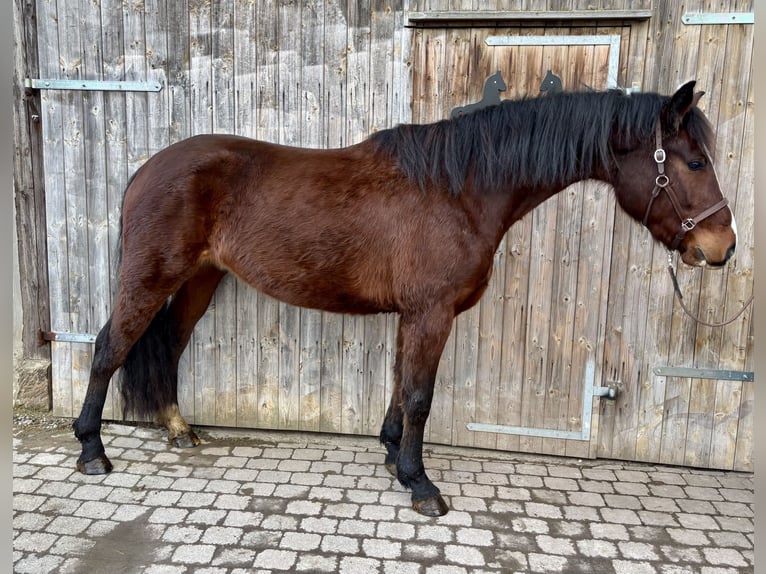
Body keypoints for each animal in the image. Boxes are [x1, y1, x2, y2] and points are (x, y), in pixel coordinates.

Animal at [73, 80, 736, 516]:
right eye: (693, 161)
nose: (722, 247)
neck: (458, 189)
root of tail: (146, 169)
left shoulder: (413, 315)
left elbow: (399, 387)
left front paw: (394, 459)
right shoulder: (431, 313)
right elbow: (419, 396)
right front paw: (422, 485)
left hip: (199, 281)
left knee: (169, 345)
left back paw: (177, 428)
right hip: (151, 277)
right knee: (110, 347)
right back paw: (92, 451)